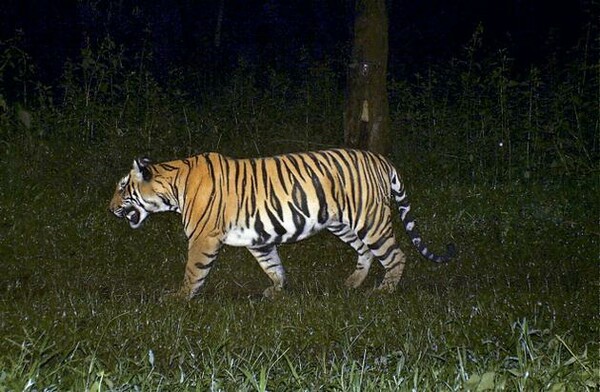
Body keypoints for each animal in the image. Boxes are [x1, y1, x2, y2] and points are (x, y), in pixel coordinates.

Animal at [109, 149, 454, 298]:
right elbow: (272, 264)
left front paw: (180, 298)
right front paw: (277, 290)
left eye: (123, 187)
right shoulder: (259, 238)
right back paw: (352, 284)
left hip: (370, 221)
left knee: (396, 255)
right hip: (343, 223)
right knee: (366, 252)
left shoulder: (203, 238)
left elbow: (194, 271)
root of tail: (381, 159)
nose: (110, 209)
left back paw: (383, 291)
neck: (173, 185)